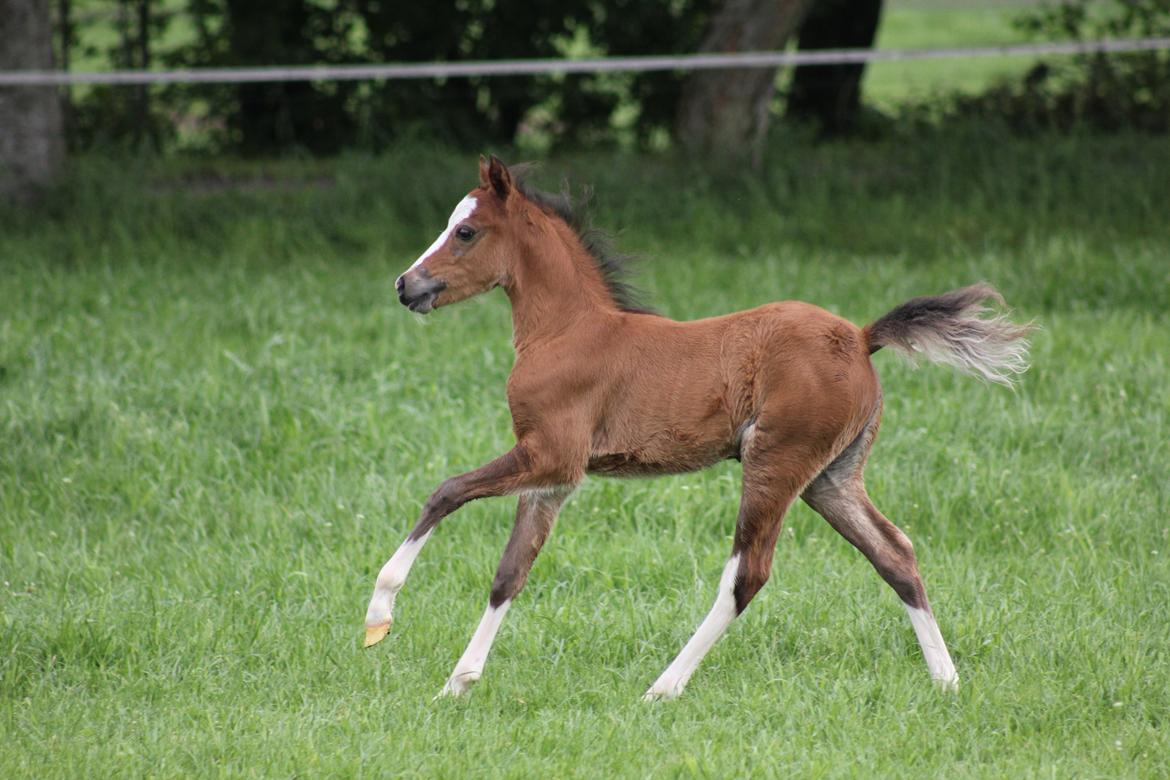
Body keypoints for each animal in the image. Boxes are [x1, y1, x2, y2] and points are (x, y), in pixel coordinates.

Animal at [364, 155, 1031, 699]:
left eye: (465, 231)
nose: (405, 285)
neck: (568, 330)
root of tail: (861, 337)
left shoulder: (551, 454)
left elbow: (446, 491)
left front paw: (379, 615)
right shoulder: (552, 481)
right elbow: (509, 575)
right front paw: (457, 683)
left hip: (774, 461)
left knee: (747, 574)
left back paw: (663, 687)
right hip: (830, 478)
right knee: (895, 553)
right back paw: (947, 681)